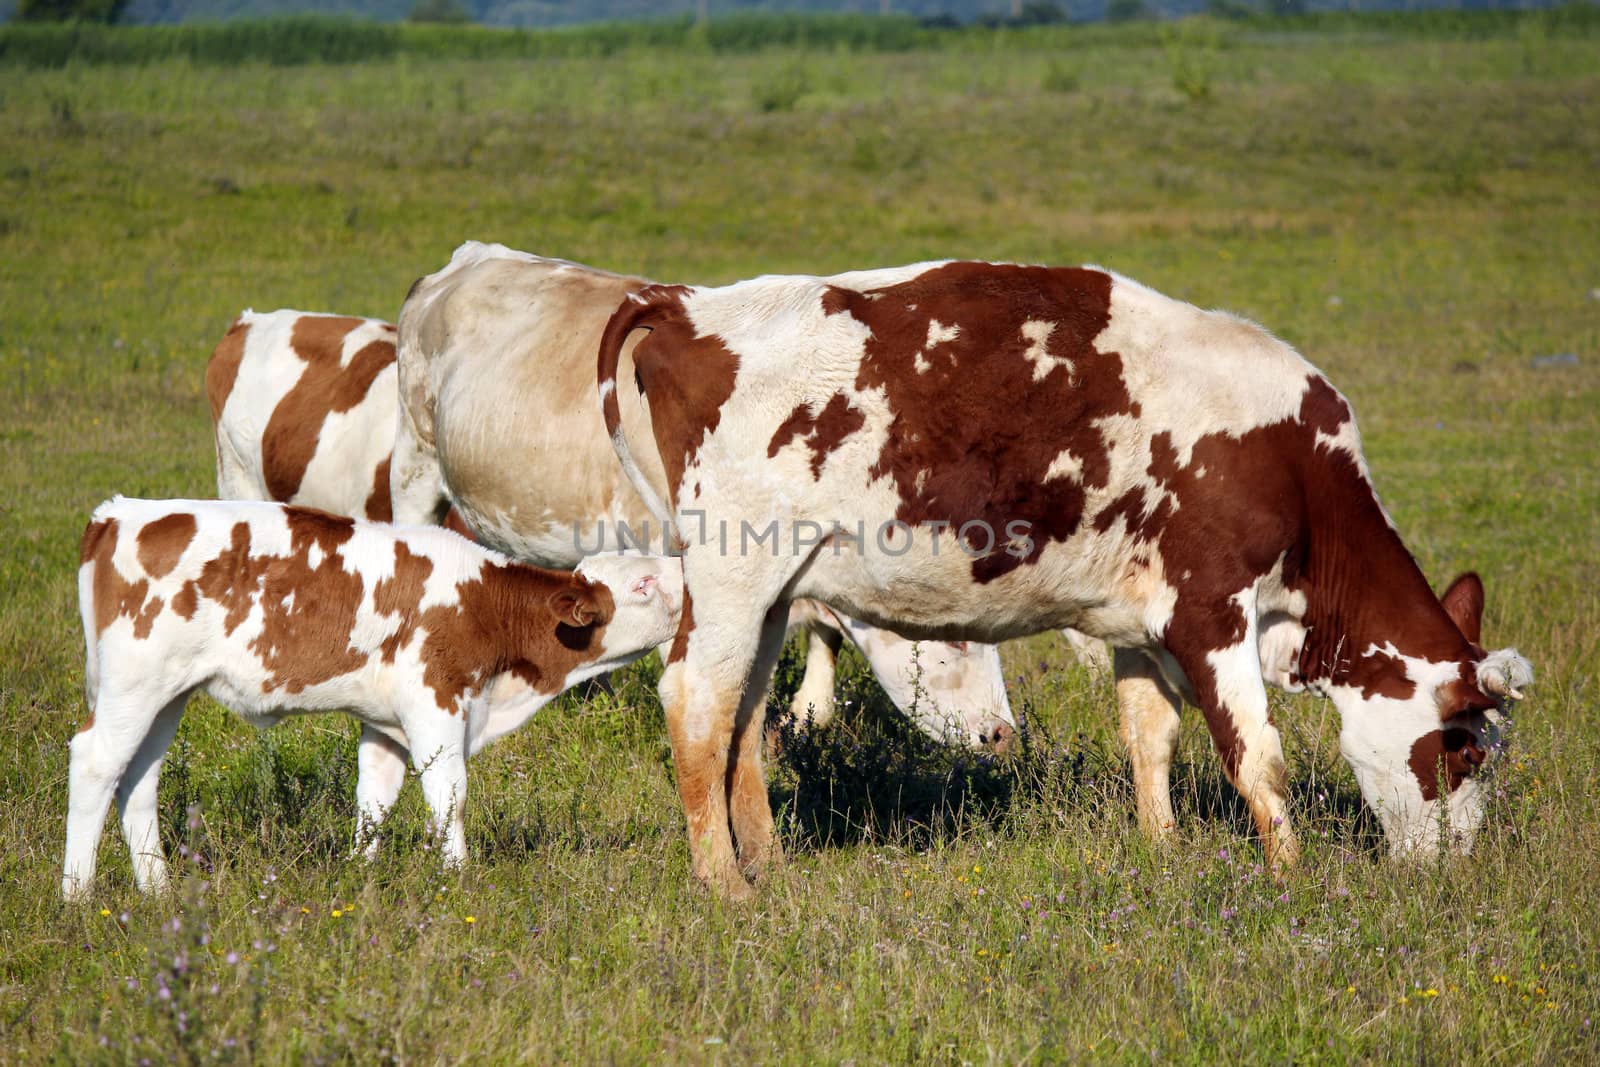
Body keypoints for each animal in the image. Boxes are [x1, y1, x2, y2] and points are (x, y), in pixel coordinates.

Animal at [58, 495, 675, 895]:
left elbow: (375, 795)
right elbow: (449, 795)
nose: (685, 582)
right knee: (96, 762)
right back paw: (77, 896)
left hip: (167, 693)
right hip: (134, 681)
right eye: (642, 585)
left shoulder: (386, 721)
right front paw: (459, 880)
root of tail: (120, 512)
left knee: (139, 777)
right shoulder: (435, 700)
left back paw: (157, 890)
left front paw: (361, 871)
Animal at [387, 241, 1011, 748]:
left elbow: (823, 630)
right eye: (953, 640)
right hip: (414, 465)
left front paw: (810, 713)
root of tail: (470, 258)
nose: (1003, 734)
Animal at [601, 260, 1536, 902]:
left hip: (771, 594)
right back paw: (724, 882)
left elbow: (1151, 737)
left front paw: (1163, 851)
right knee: (696, 700)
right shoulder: (1212, 610)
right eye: (1461, 749)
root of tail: (687, 305)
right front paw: (1294, 876)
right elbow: (1256, 756)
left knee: (745, 711)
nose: (1456, 872)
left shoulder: (1140, 622)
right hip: (732, 578)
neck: (1292, 466)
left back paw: (767, 861)